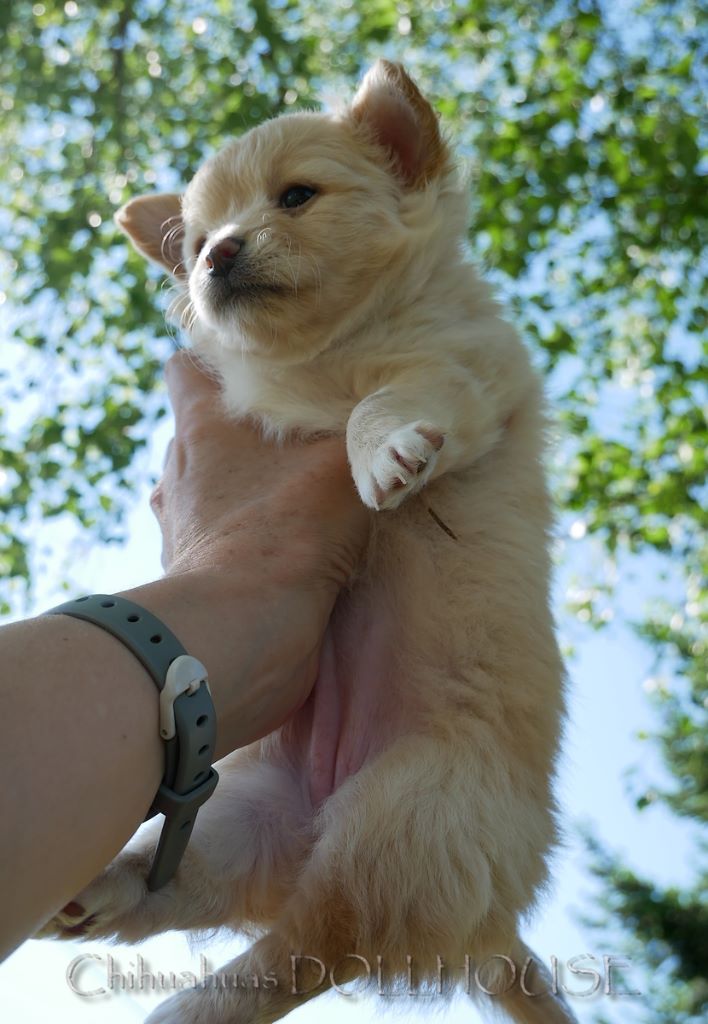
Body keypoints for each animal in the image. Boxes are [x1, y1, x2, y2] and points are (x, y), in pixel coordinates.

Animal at [42, 61, 576, 1024]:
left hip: (407, 812)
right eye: (199, 239)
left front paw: (386, 452)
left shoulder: (460, 370)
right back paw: (102, 887)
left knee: (307, 947)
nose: (216, 256)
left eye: (296, 197)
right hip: (242, 815)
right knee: (183, 883)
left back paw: (185, 1006)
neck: (329, 351)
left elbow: (380, 404)